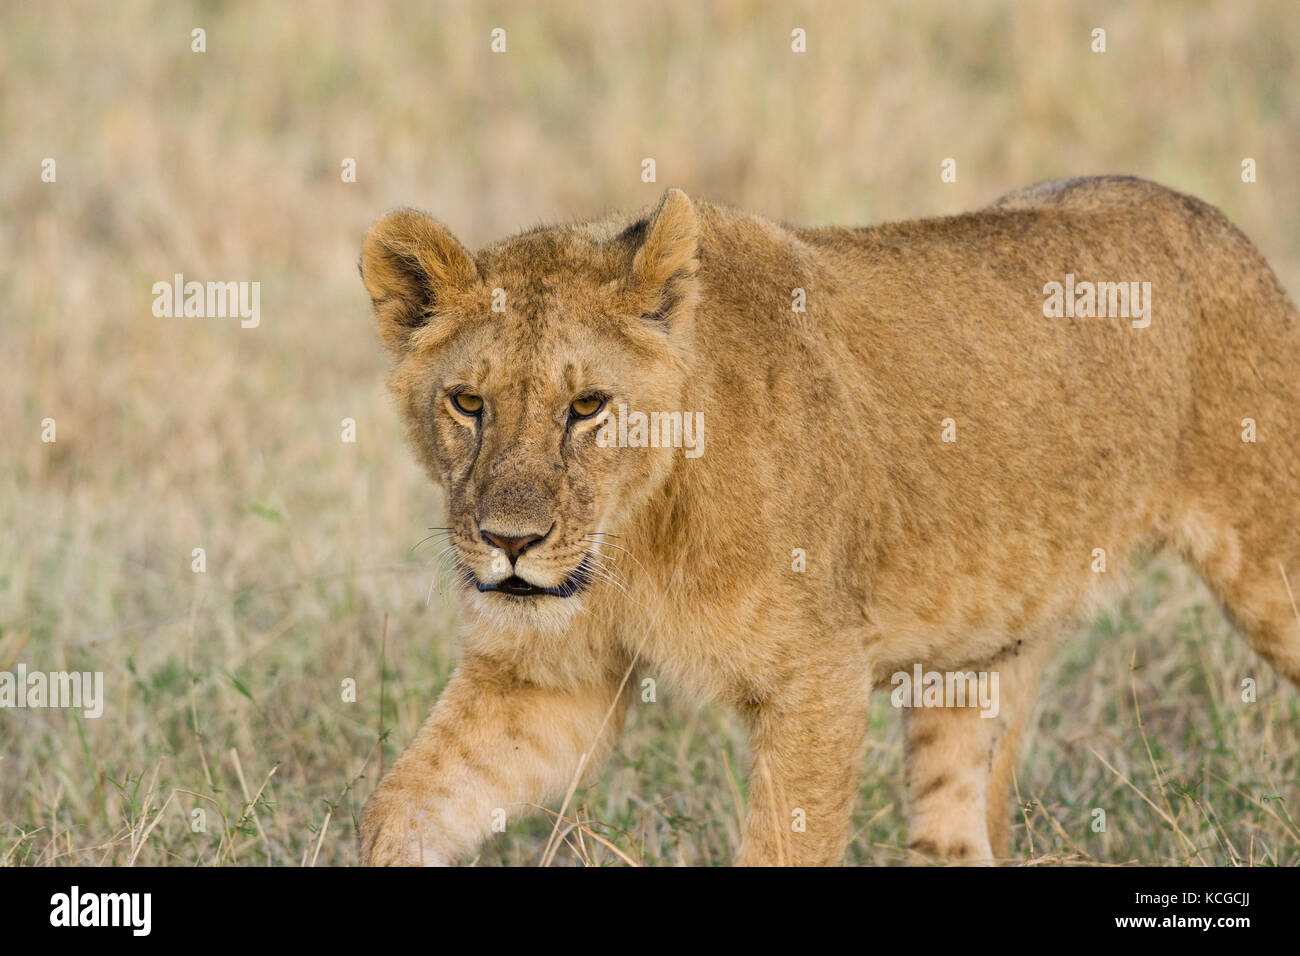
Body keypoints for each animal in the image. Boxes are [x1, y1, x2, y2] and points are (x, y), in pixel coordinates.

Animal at [357, 177, 1300, 865]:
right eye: (467, 402)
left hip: (1272, 562)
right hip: (972, 665)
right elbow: (406, 802)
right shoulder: (546, 680)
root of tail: (1212, 218)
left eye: (587, 406)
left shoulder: (817, 679)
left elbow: (783, 848)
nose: (510, 544)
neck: (636, 533)